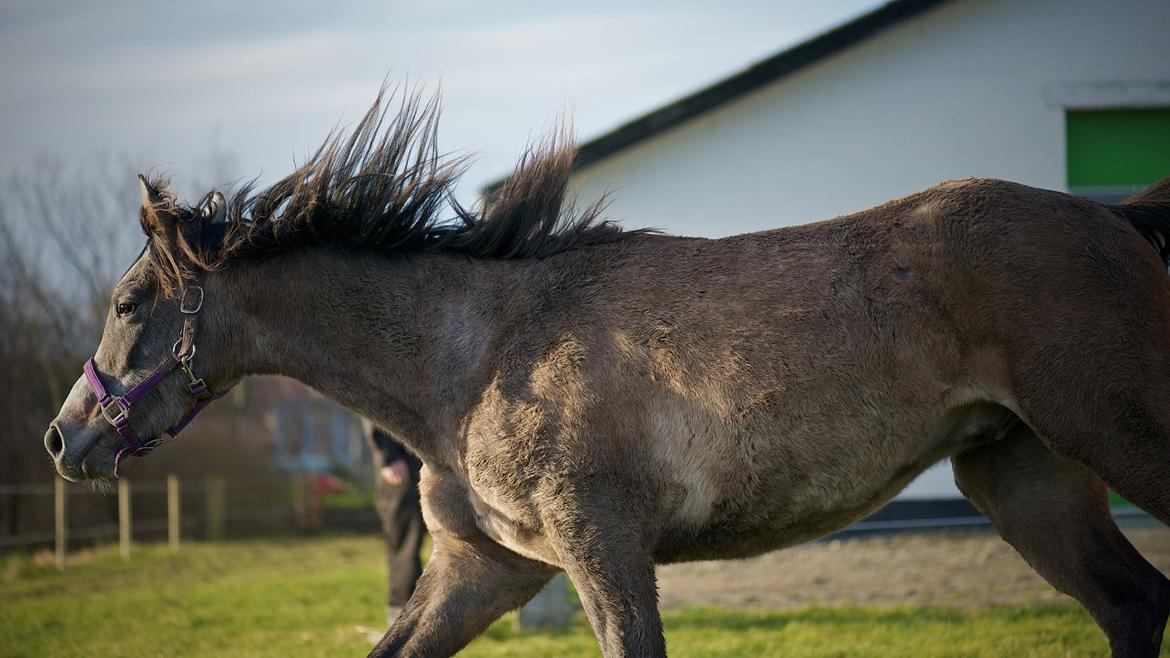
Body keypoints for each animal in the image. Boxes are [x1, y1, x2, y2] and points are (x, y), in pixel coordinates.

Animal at [41, 88, 1170, 655]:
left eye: (129, 305)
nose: (64, 436)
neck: (474, 355)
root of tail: (1117, 219)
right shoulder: (487, 569)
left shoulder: (603, 550)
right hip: (1018, 474)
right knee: (1133, 606)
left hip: (1118, 439)